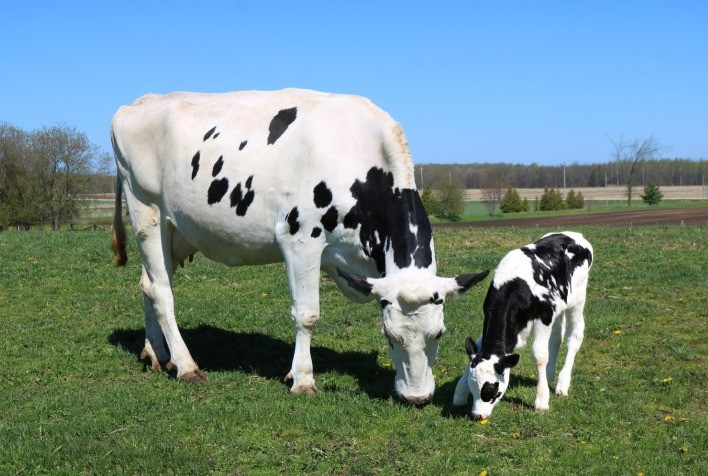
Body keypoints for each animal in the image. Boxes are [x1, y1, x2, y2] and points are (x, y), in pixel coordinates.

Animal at [110, 88, 489, 404]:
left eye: (439, 334)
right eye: (389, 335)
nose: (417, 397)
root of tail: (141, 101)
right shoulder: (300, 239)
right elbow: (307, 315)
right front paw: (303, 379)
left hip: (176, 230)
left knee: (148, 284)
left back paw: (155, 353)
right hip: (147, 211)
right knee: (162, 292)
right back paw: (186, 365)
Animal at [452, 231, 593, 419]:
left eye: (493, 390)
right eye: (472, 387)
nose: (478, 415)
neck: (514, 286)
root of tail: (575, 235)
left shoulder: (544, 315)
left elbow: (539, 354)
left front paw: (541, 401)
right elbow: (478, 348)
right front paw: (460, 393)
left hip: (577, 300)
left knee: (574, 337)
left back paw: (562, 384)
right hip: (560, 306)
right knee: (556, 338)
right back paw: (548, 376)